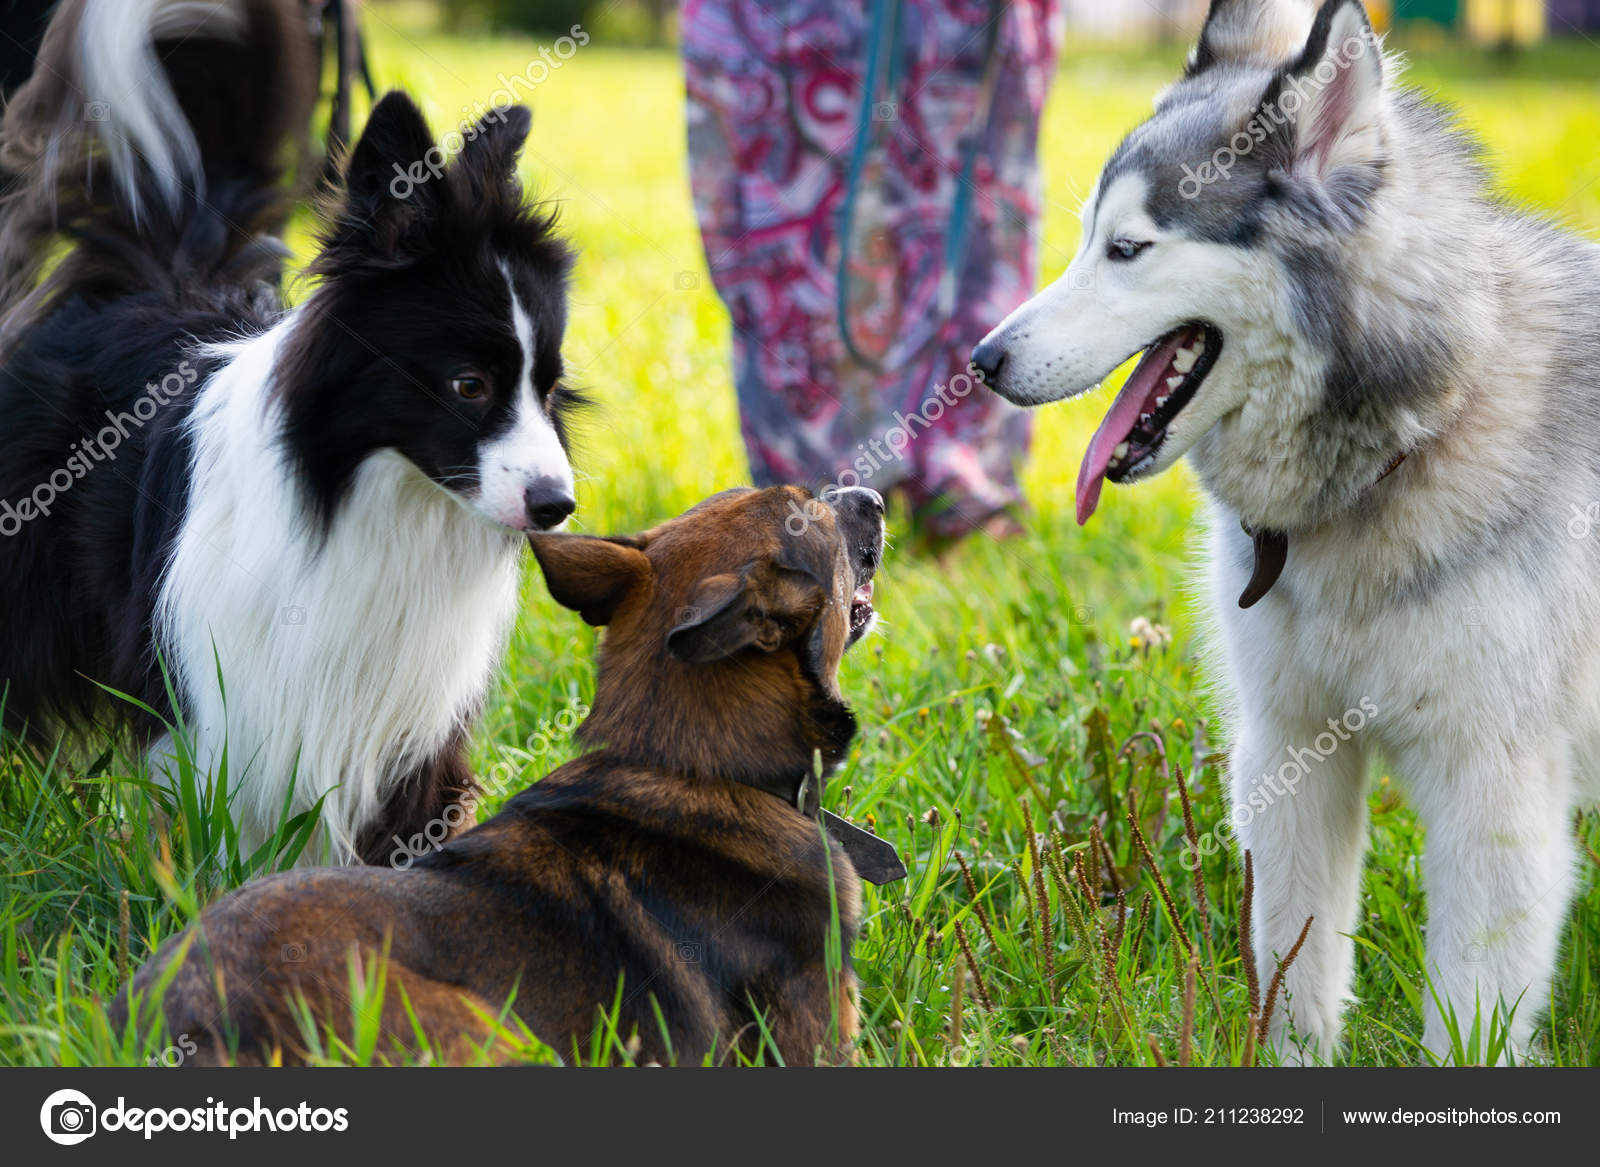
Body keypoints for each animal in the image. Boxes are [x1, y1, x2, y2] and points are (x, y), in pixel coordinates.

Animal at [0, 0, 585, 858]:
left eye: (550, 387)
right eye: (468, 386)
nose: (556, 506)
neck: (369, 493)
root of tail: (149, 279)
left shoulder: (411, 728)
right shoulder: (221, 714)